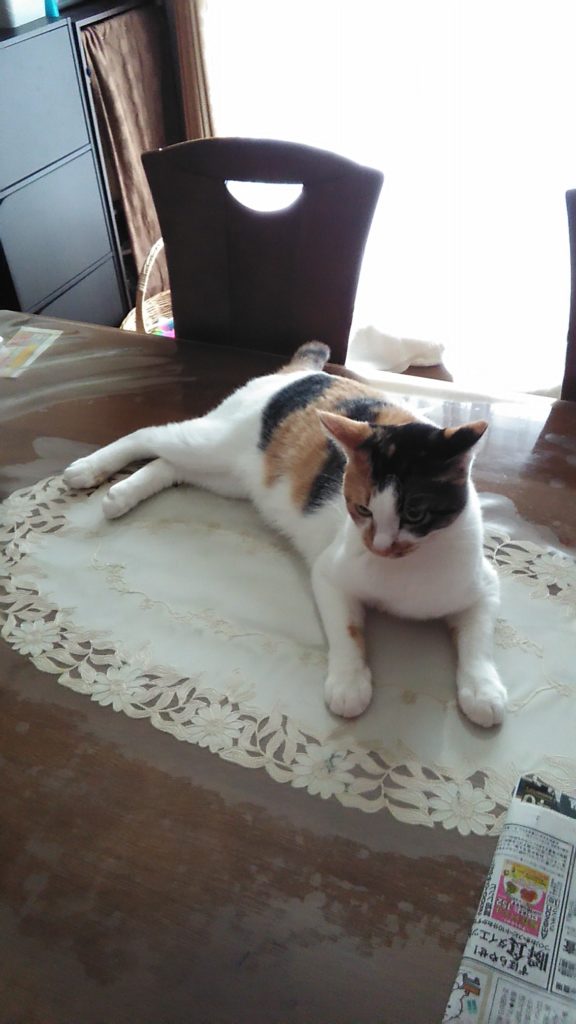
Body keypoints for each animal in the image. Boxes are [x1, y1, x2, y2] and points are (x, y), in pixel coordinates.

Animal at [63, 341, 506, 728]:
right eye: (362, 508)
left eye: (414, 513)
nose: (378, 545)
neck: (406, 570)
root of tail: (302, 372)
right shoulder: (330, 575)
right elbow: (348, 632)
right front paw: (349, 682)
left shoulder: (484, 587)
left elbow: (479, 641)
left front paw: (482, 689)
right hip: (212, 443)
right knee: (148, 435)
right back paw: (88, 469)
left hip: (228, 477)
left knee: (169, 466)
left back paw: (121, 494)